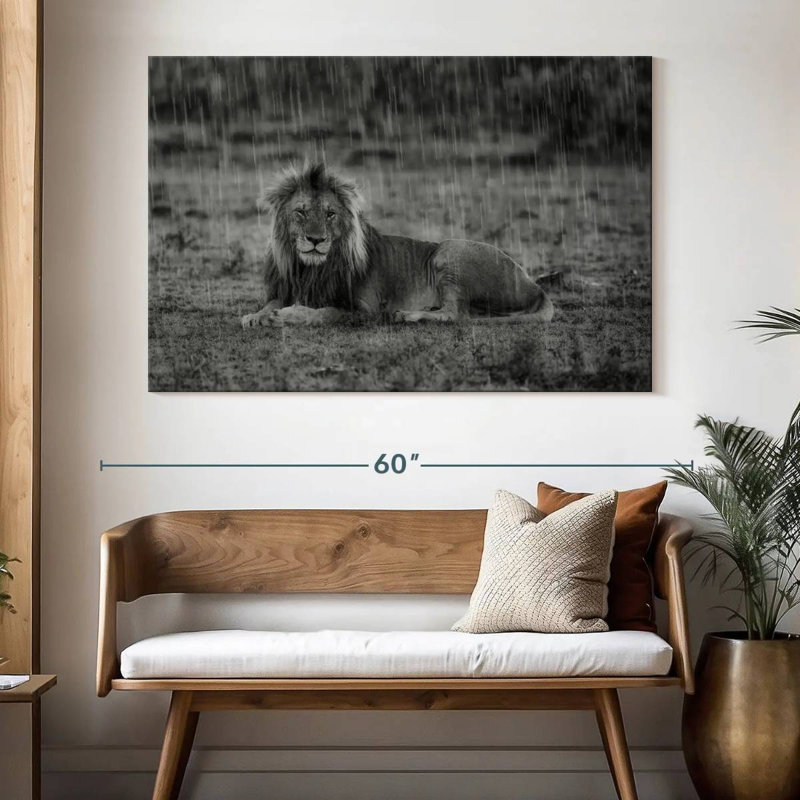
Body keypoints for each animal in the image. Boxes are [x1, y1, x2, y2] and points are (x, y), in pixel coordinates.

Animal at [241, 162, 554, 328]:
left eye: (330, 214)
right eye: (301, 212)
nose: (316, 240)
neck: (311, 270)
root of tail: (535, 286)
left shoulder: (365, 310)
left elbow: (326, 313)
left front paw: (289, 314)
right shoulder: (287, 287)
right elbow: (270, 303)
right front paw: (255, 316)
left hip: (449, 251)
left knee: (457, 315)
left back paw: (405, 314)